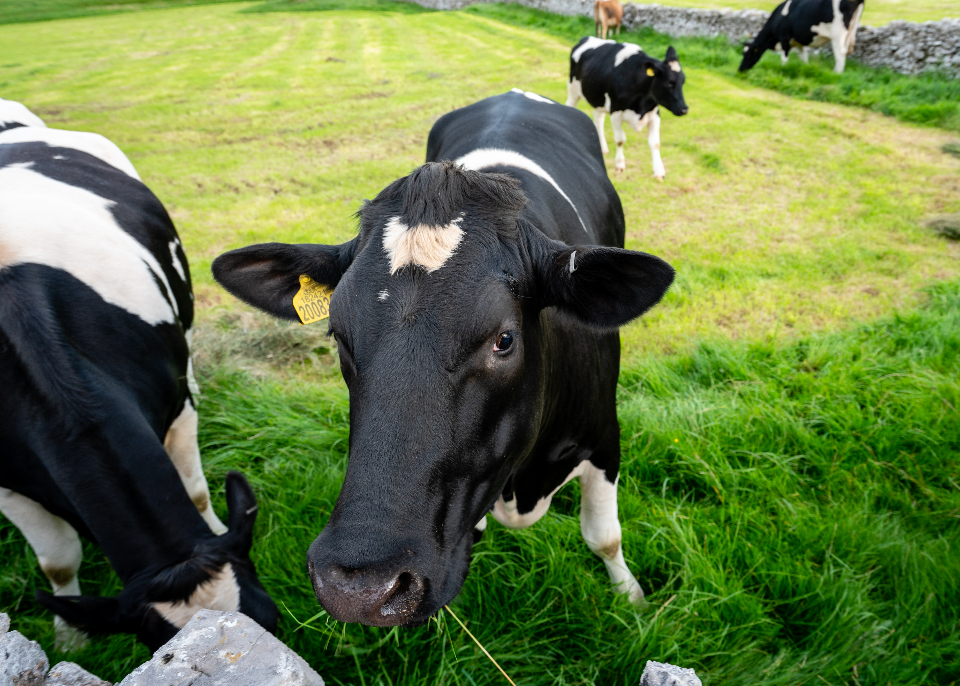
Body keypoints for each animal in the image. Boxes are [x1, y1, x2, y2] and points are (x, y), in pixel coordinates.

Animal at [0, 101, 278, 650]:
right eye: (157, 647)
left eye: (272, 620)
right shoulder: (8, 482)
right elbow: (57, 561)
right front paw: (71, 638)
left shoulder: (176, 407)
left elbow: (195, 489)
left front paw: (212, 522)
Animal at [211, 89, 675, 627]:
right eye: (339, 336)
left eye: (504, 339)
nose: (358, 588)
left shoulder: (603, 434)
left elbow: (605, 536)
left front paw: (632, 600)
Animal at [566, 37, 688, 179]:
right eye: (669, 83)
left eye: (682, 82)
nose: (684, 109)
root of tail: (587, 38)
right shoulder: (616, 112)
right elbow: (620, 140)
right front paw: (620, 164)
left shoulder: (654, 114)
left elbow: (655, 143)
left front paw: (659, 171)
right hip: (573, 90)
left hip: (599, 99)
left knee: (598, 119)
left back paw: (603, 148)